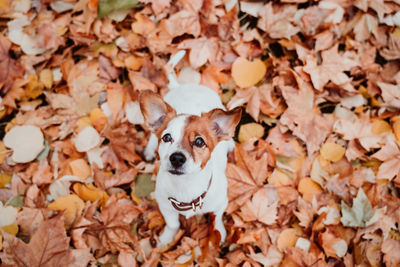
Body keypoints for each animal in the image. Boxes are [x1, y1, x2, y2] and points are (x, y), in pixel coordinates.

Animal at [139, 50, 242, 247]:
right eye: (167, 137)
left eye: (200, 142)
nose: (177, 158)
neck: (185, 188)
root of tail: (183, 87)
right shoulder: (165, 206)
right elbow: (173, 224)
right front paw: (166, 239)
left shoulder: (220, 204)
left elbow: (217, 219)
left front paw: (220, 233)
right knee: (151, 135)